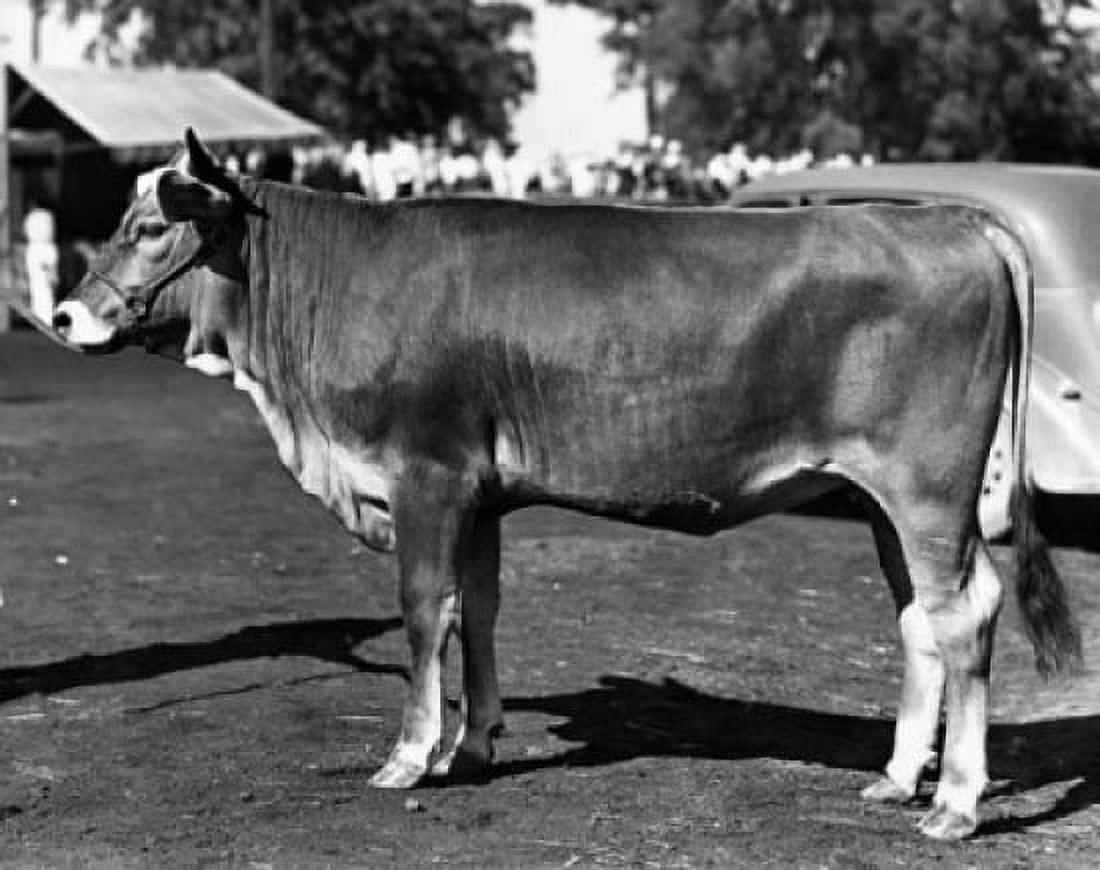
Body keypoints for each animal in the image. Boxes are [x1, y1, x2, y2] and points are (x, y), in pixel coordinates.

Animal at [54, 129, 1079, 841]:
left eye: (151, 228)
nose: (64, 314)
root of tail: (950, 218)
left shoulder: (427, 476)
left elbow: (423, 611)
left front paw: (408, 756)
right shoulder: (480, 493)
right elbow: (477, 609)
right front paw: (472, 744)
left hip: (929, 492)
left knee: (966, 613)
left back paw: (955, 803)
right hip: (879, 499)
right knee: (918, 622)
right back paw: (899, 776)